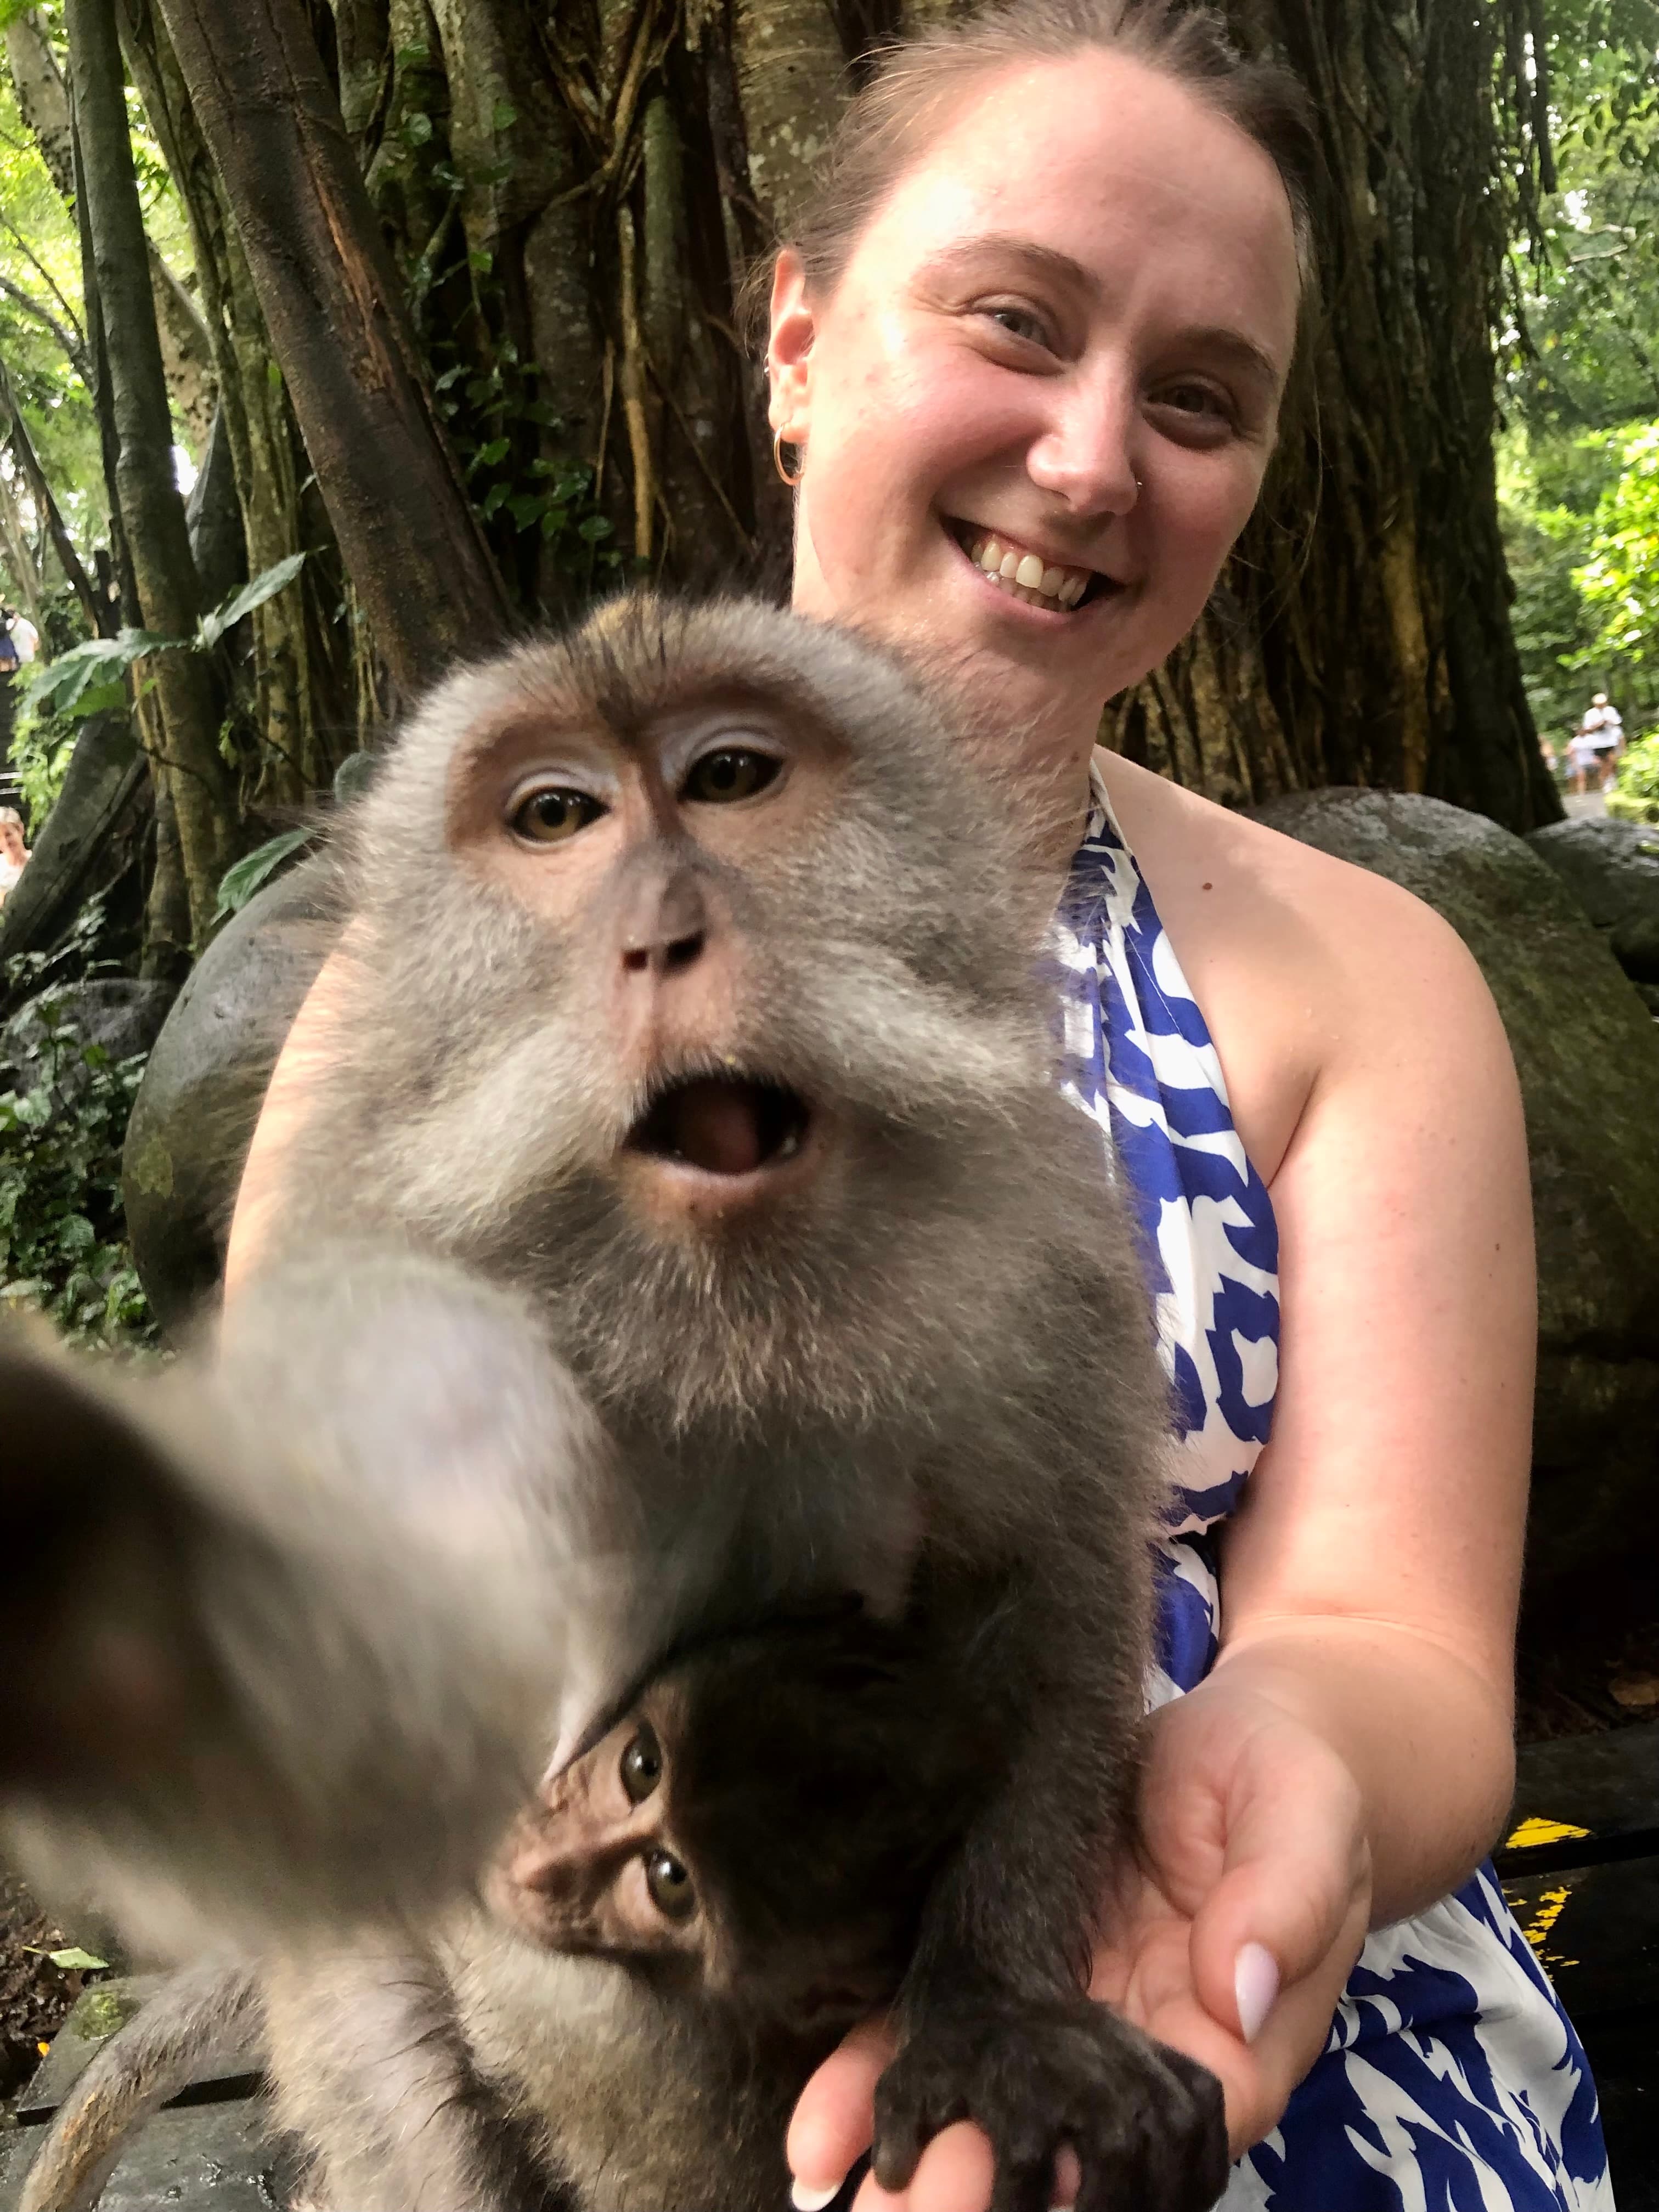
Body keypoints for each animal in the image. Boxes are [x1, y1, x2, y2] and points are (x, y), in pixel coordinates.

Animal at [0, 594, 1229, 2212]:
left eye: (730, 778)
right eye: (557, 817)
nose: (660, 934)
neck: (726, 1322)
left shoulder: (1046, 1260)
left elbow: (1059, 1609)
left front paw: (994, 2016)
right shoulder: (399, 1318)